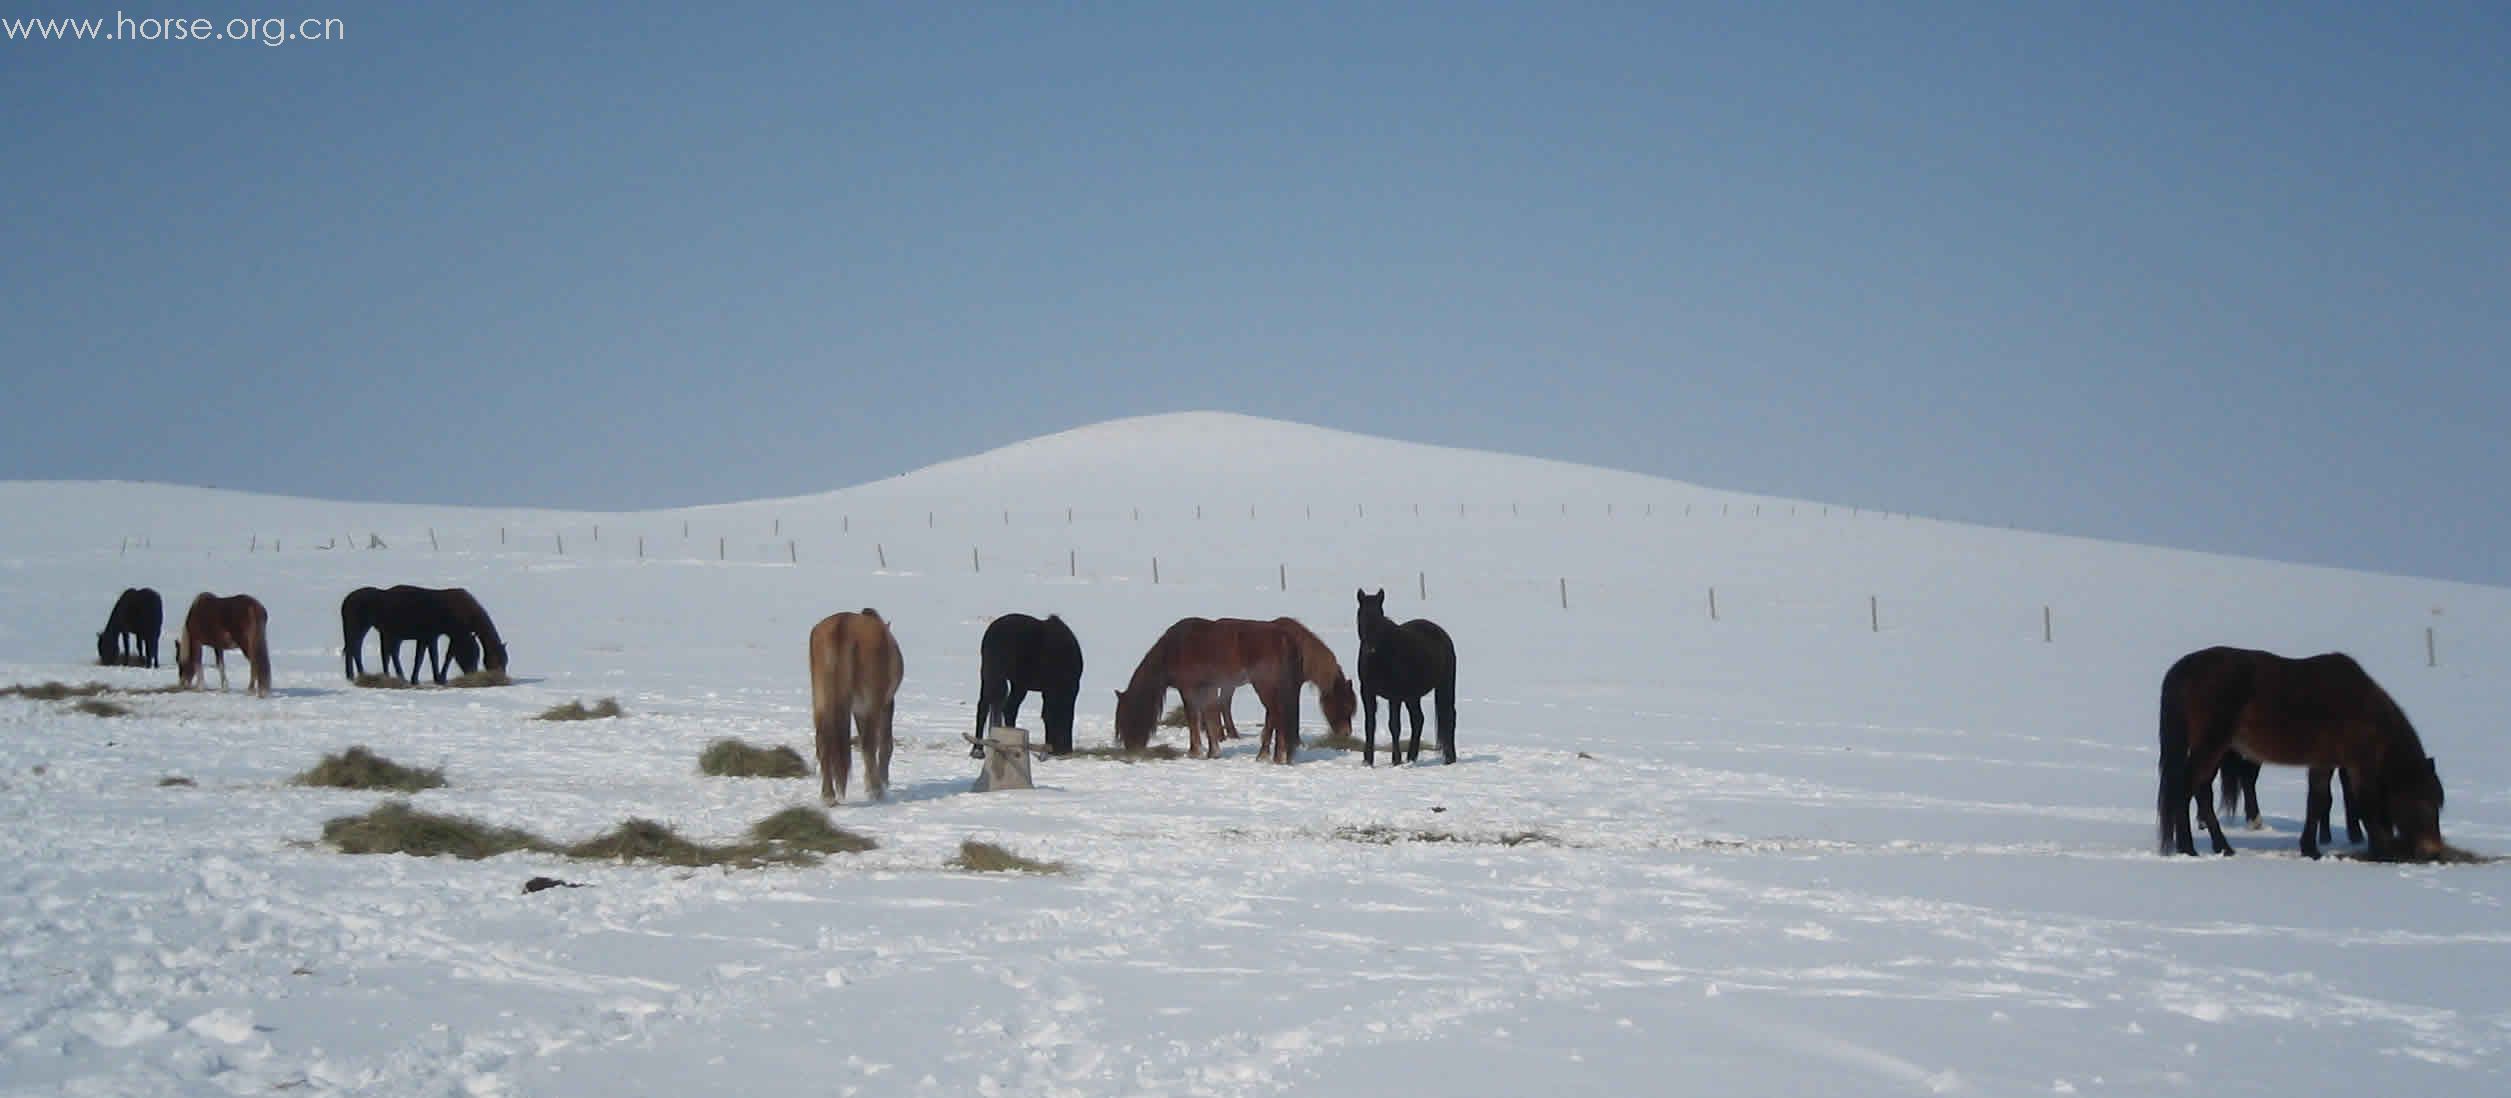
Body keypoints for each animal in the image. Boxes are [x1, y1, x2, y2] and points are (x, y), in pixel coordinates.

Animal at [808, 608, 908, 804]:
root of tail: (842, 627)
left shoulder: (857, 709)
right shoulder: (885, 704)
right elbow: (884, 744)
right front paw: (880, 782)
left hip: (822, 702)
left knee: (822, 742)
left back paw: (828, 795)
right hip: (872, 704)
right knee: (870, 744)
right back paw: (877, 791)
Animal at [974, 608, 1084, 753]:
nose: (1063, 749)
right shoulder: (1053, 689)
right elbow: (1049, 713)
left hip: (1008, 681)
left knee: (1001, 708)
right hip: (1001, 677)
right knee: (992, 707)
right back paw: (978, 749)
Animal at [1119, 615, 1315, 763]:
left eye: (1126, 717)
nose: (1129, 748)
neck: (1174, 648)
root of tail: (1284, 638)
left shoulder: (1189, 689)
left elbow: (1194, 718)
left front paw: (1195, 752)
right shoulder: (1208, 689)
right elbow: (1210, 717)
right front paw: (1213, 751)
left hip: (1265, 686)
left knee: (1277, 716)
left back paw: (1275, 756)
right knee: (1274, 717)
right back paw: (1268, 755)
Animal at [1355, 590, 1456, 763]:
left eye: (1379, 615)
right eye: (1361, 615)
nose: (1370, 647)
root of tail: (1442, 634)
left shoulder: (1394, 696)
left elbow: (1394, 726)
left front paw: (1396, 760)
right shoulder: (1367, 693)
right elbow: (1370, 725)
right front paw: (1368, 761)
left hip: (1444, 686)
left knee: (1449, 717)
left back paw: (1450, 758)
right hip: (1412, 696)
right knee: (1418, 720)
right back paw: (1411, 757)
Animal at [2169, 648, 2440, 859]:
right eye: (2424, 802)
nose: (2433, 850)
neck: (2364, 710)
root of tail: (2188, 667)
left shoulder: (2324, 762)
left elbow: (2317, 801)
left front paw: (2310, 848)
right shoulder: (2356, 765)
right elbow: (2363, 802)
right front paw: (2381, 850)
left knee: (2202, 791)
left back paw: (2218, 846)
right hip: (2212, 748)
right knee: (2187, 790)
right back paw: (2190, 848)